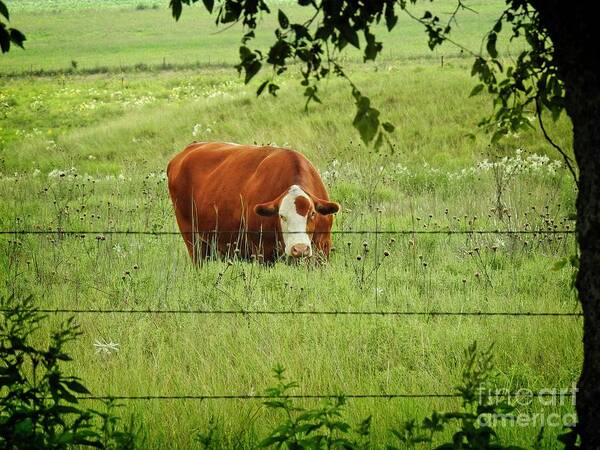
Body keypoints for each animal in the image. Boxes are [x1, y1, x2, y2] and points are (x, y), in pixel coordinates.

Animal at [166, 142, 340, 264]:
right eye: (281, 216)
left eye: (312, 214)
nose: (300, 248)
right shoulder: (262, 252)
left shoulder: (322, 250)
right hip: (192, 241)